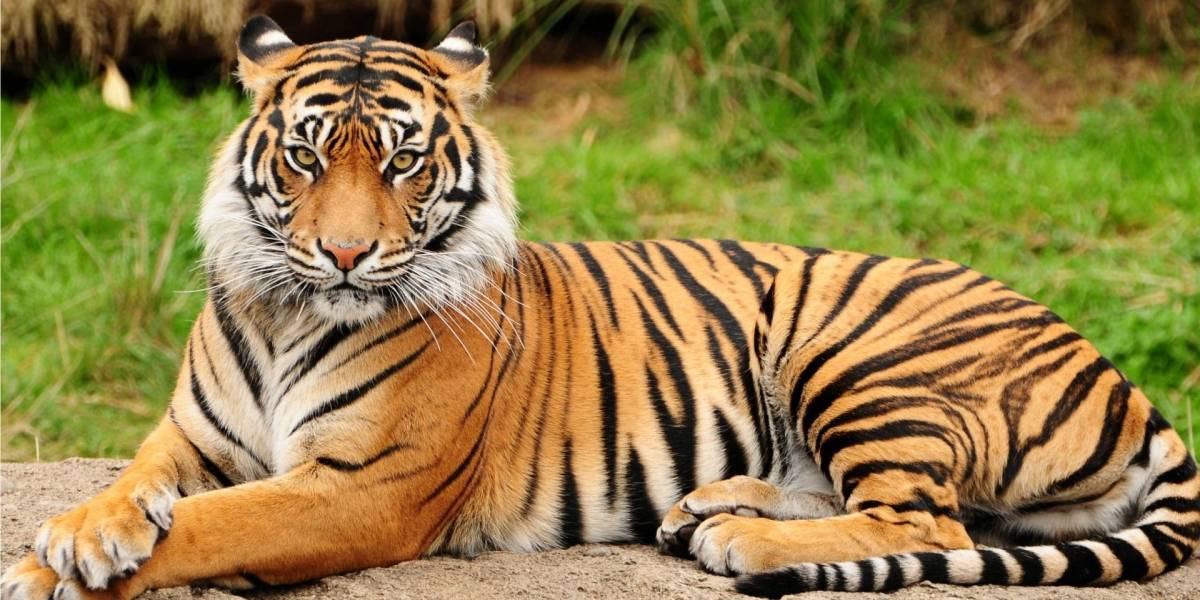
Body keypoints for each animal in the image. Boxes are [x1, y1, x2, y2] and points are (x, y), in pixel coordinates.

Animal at [2, 16, 1197, 600]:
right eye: (304, 157)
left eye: (401, 164)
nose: (343, 254)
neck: (290, 308)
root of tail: (1123, 380)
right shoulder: (191, 437)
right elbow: (140, 487)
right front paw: (80, 533)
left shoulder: (361, 487)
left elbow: (215, 525)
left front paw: (50, 567)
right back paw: (708, 508)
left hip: (854, 346)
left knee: (927, 519)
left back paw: (744, 545)